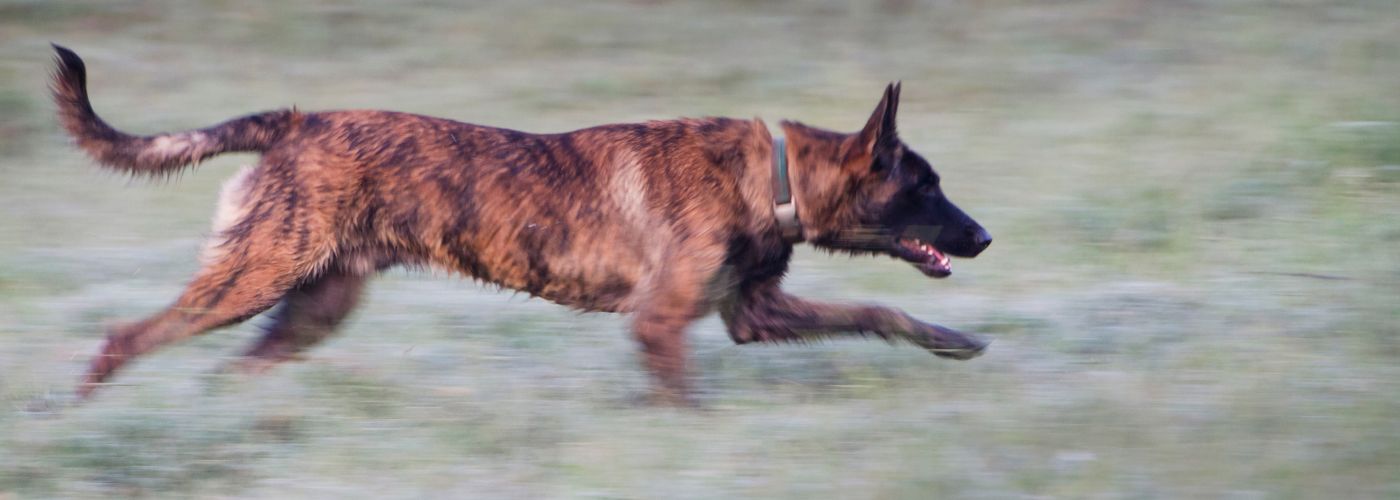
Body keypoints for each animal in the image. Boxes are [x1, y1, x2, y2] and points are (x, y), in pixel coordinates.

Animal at [54, 42, 991, 400]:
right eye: (926, 186)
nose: (984, 237)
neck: (776, 176)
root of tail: (295, 121)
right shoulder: (661, 325)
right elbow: (687, 403)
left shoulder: (752, 314)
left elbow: (879, 311)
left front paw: (950, 340)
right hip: (253, 280)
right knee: (124, 339)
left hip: (312, 306)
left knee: (233, 372)